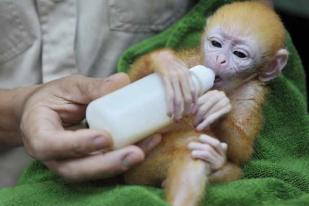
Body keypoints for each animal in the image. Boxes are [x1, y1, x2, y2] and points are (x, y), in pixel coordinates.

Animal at [122, 1, 286, 206]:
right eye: (216, 44)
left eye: (239, 54)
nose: (219, 59)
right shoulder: (191, 63)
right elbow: (130, 81)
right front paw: (164, 62)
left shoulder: (251, 93)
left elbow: (241, 152)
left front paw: (218, 107)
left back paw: (215, 162)